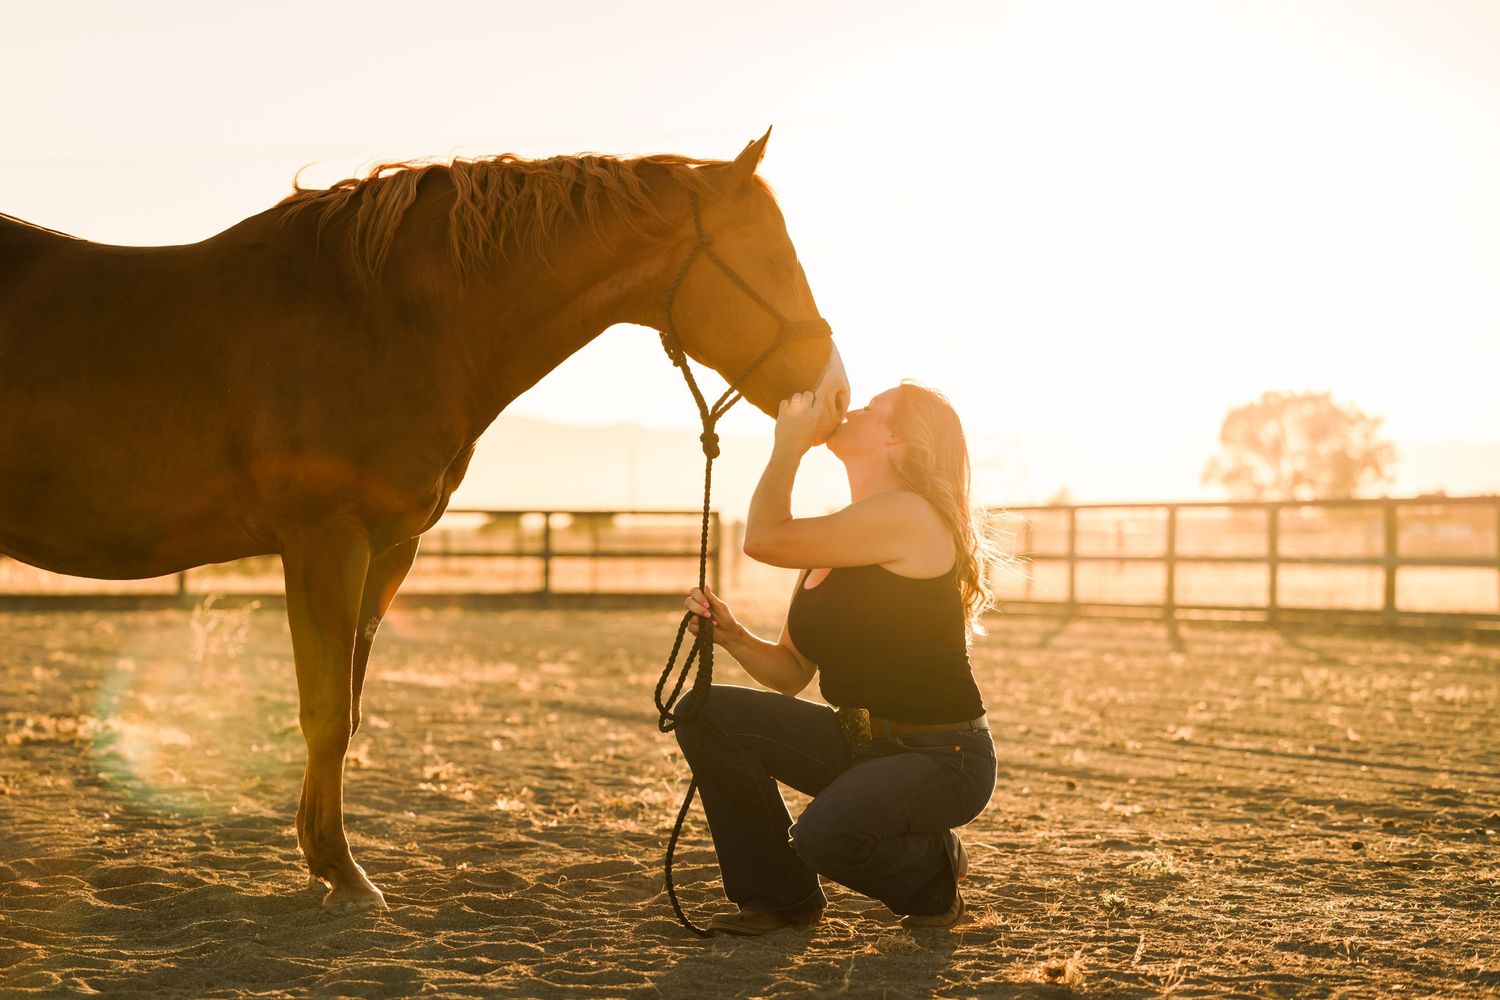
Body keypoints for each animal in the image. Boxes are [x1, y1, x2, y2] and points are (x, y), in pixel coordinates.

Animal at [0, 130, 849, 911]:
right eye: (772, 258)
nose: (835, 397)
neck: (382, 319)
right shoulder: (324, 541)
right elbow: (323, 714)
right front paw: (343, 874)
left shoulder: (389, 550)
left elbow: (348, 709)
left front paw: (326, 858)